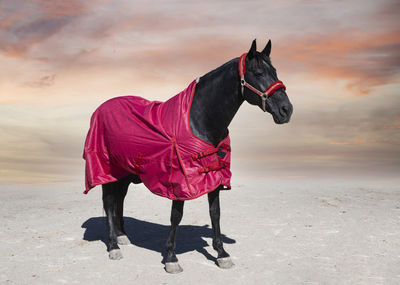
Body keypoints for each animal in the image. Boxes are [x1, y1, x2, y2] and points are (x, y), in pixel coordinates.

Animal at [97, 40, 290, 272]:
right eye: (259, 72)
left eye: (275, 71)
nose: (286, 110)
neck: (200, 120)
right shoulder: (180, 181)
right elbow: (176, 216)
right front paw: (171, 257)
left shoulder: (214, 175)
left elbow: (215, 212)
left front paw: (222, 254)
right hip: (108, 171)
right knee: (109, 202)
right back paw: (113, 246)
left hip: (125, 174)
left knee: (119, 200)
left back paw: (122, 236)